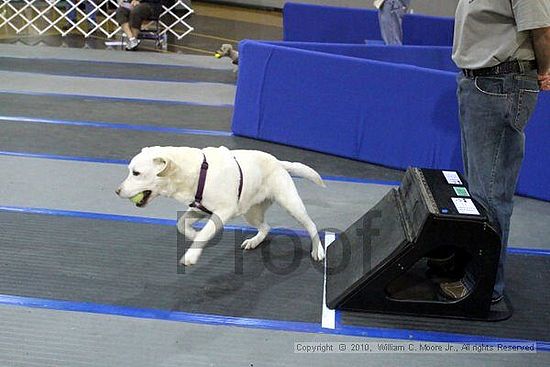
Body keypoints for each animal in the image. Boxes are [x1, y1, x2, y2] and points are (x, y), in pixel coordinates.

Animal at [114, 146, 326, 268]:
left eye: (136, 173)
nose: (117, 191)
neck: (196, 171)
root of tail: (279, 162)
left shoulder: (223, 212)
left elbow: (205, 231)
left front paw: (192, 253)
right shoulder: (199, 209)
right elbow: (181, 224)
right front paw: (193, 236)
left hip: (291, 204)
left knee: (311, 226)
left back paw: (318, 251)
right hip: (250, 212)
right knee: (266, 227)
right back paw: (253, 242)